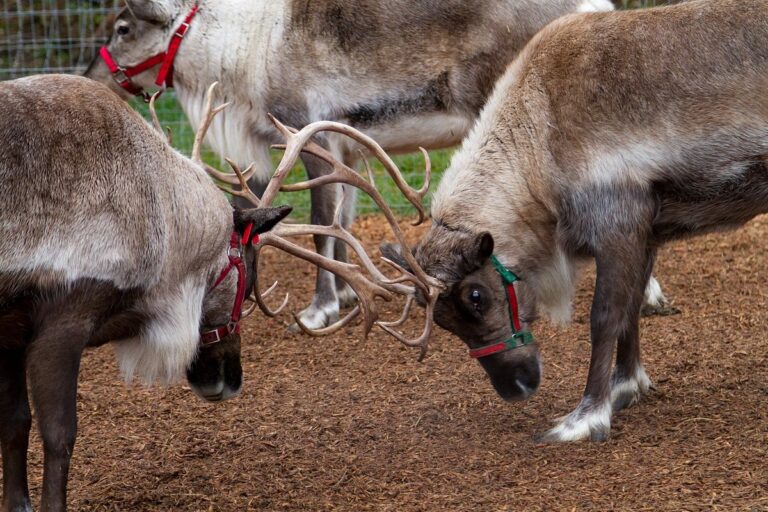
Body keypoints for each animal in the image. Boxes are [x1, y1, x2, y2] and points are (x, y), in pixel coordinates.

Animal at [82, 0, 680, 334]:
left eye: (122, 28)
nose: (91, 79)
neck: (239, 45)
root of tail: (595, 10)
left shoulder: (306, 130)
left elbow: (320, 227)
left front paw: (319, 309)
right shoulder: (347, 147)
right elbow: (343, 221)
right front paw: (348, 295)